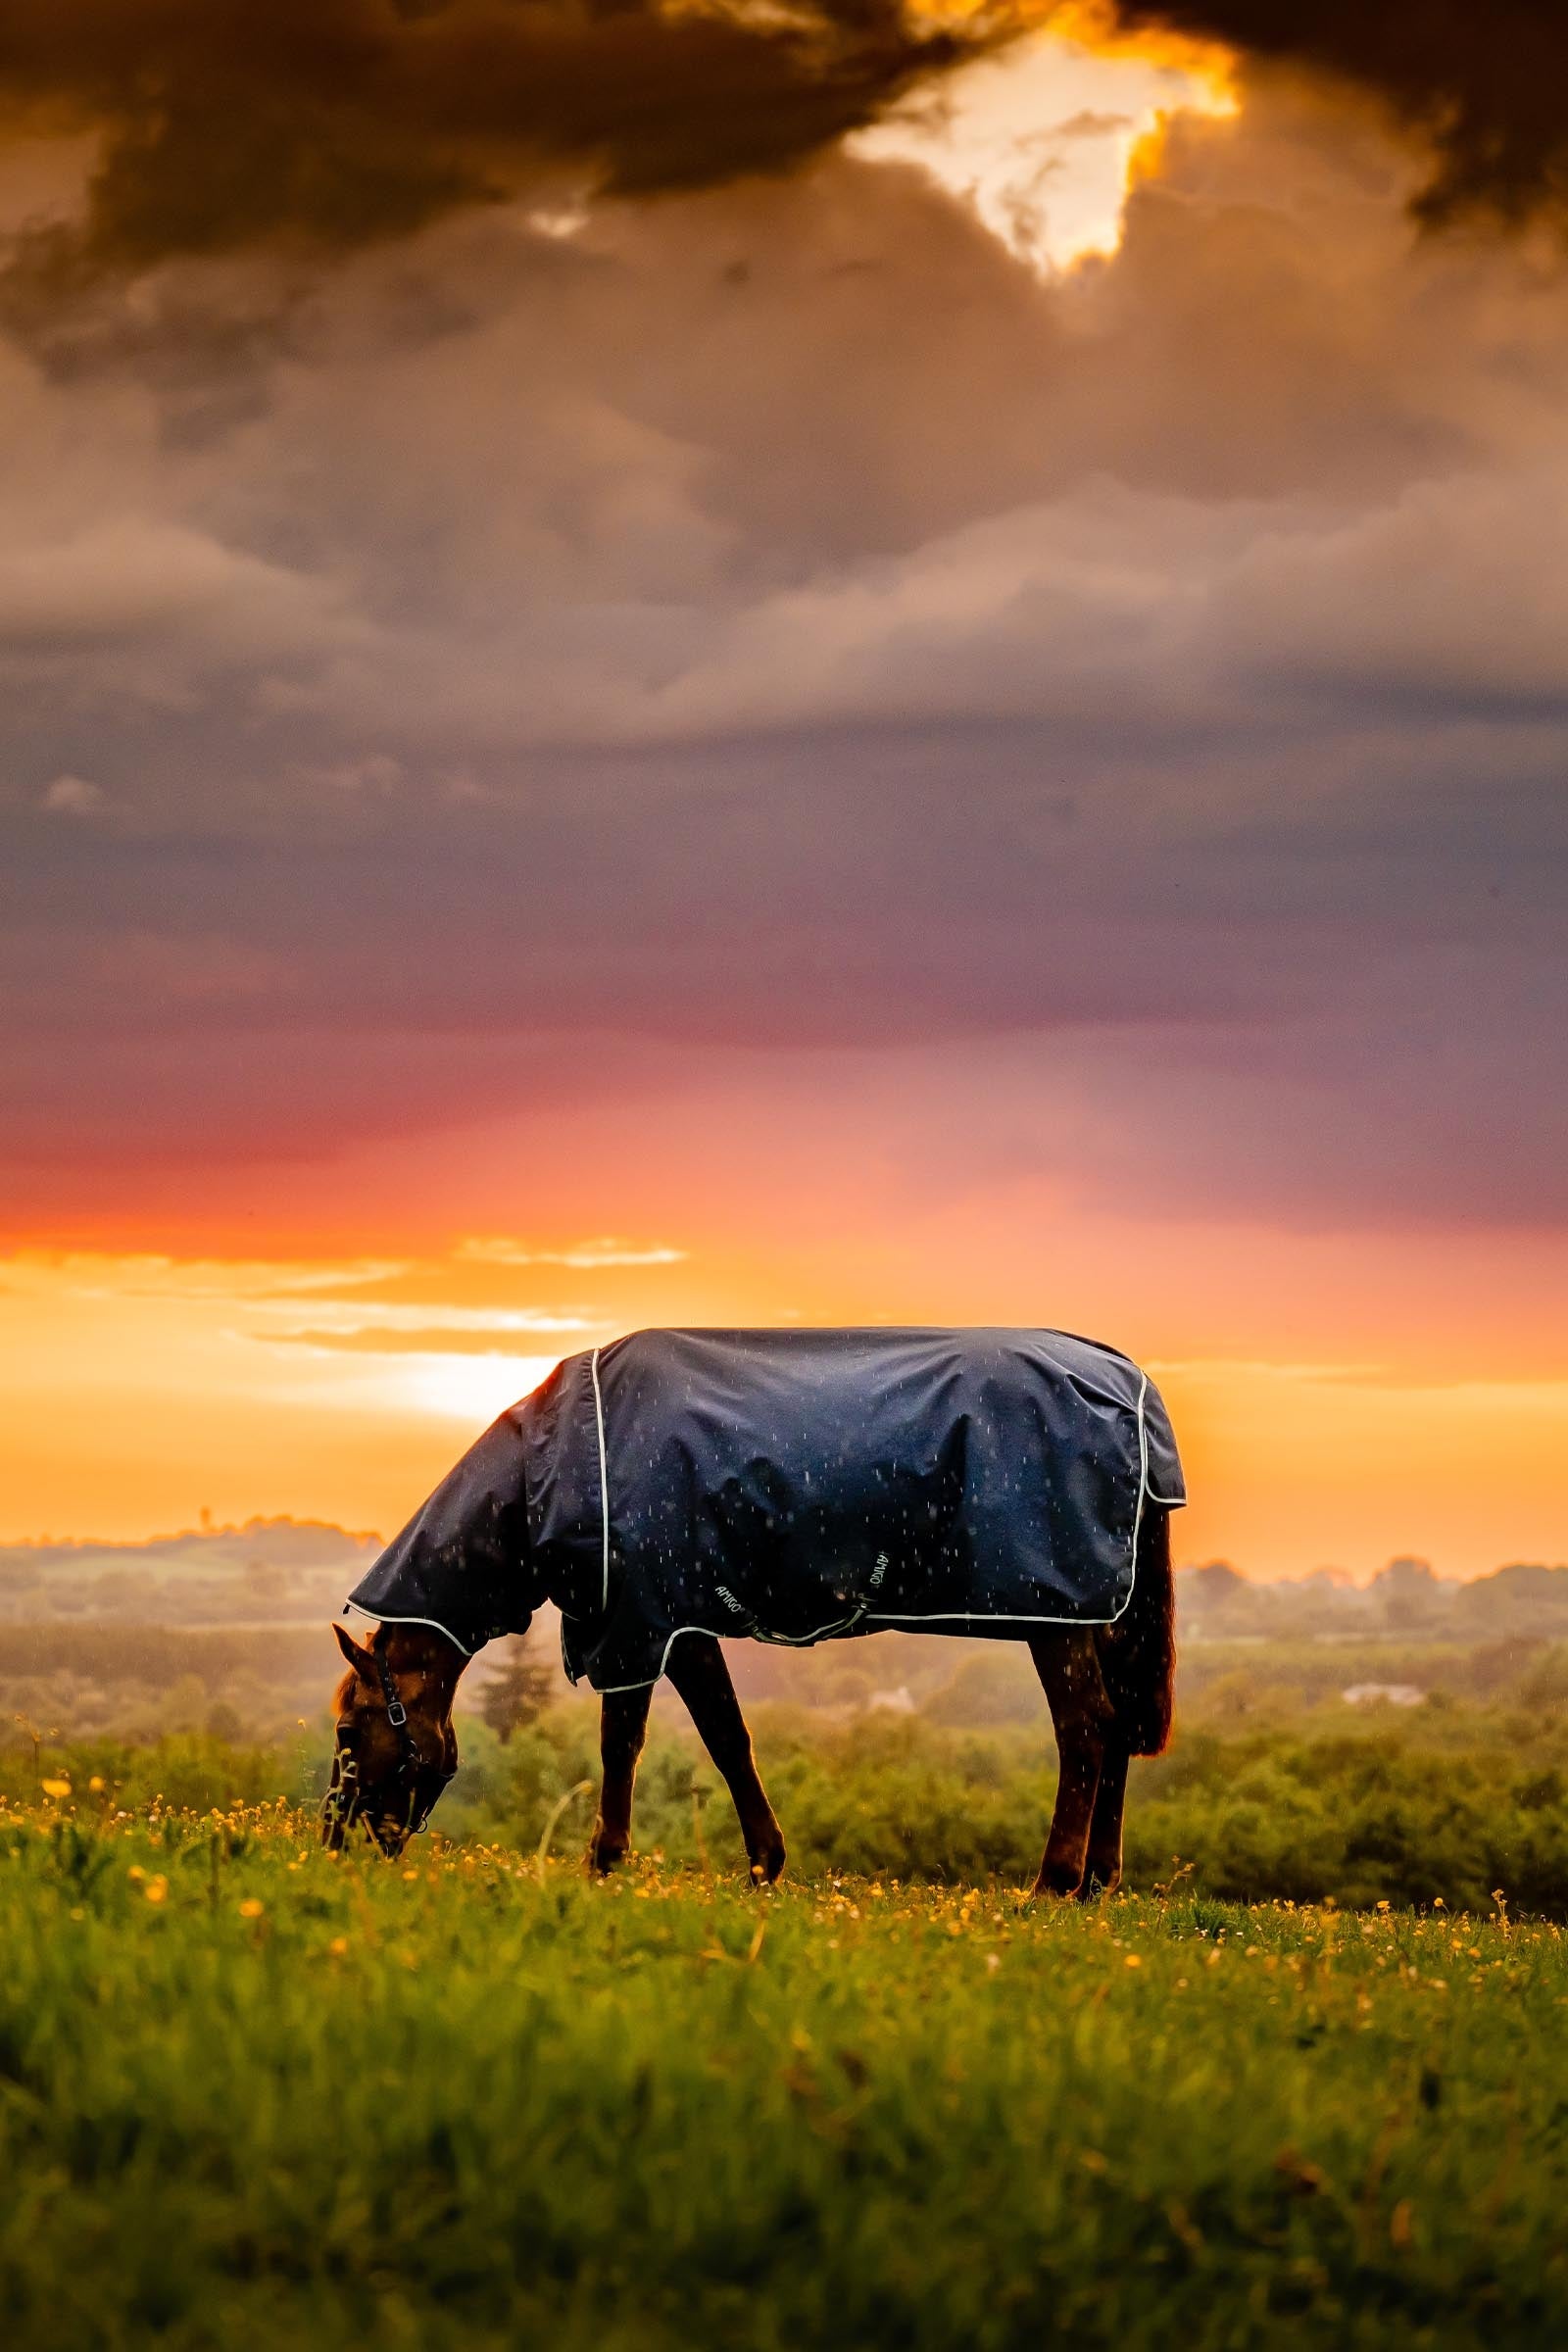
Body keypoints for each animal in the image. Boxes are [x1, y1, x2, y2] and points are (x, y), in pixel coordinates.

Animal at [323, 1326, 1181, 1898]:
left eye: (348, 1730)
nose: (335, 1842)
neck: (552, 1468)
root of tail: (1128, 1382)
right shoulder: (671, 1625)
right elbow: (717, 1736)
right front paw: (759, 1863)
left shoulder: (647, 1626)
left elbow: (653, 1743)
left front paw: (610, 1862)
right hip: (1092, 1617)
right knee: (1114, 1728)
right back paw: (1097, 1881)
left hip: (1055, 1616)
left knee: (1087, 1728)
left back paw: (1055, 1882)